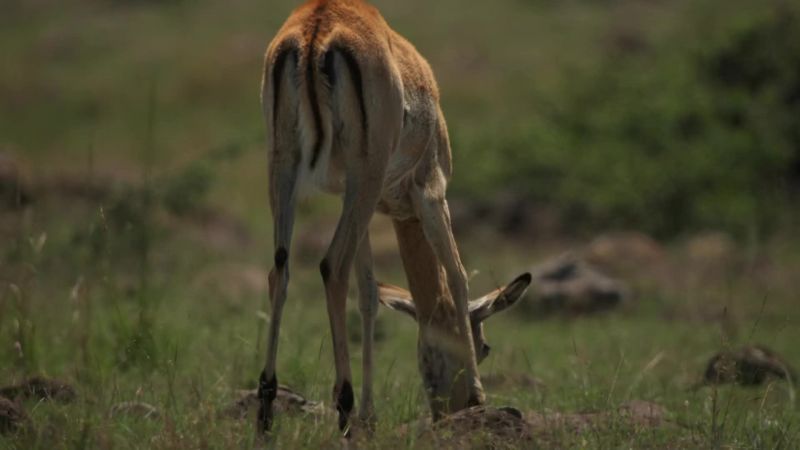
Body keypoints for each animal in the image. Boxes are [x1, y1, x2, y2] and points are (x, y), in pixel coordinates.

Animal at [258, 0, 531, 435]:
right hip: (363, 175)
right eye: (485, 346)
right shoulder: (432, 193)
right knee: (332, 266)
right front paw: (478, 394)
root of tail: (318, 25)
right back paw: (344, 407)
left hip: (285, 169)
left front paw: (371, 415)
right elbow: (457, 277)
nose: (449, 412)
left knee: (279, 271)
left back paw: (266, 408)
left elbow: (369, 293)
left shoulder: (359, 203)